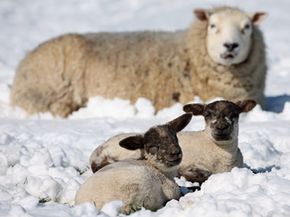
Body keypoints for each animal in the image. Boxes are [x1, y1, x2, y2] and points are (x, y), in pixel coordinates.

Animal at [90, 99, 256, 183]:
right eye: (207, 114)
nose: (221, 127)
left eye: (235, 114)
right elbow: (203, 174)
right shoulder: (187, 165)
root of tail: (96, 154)